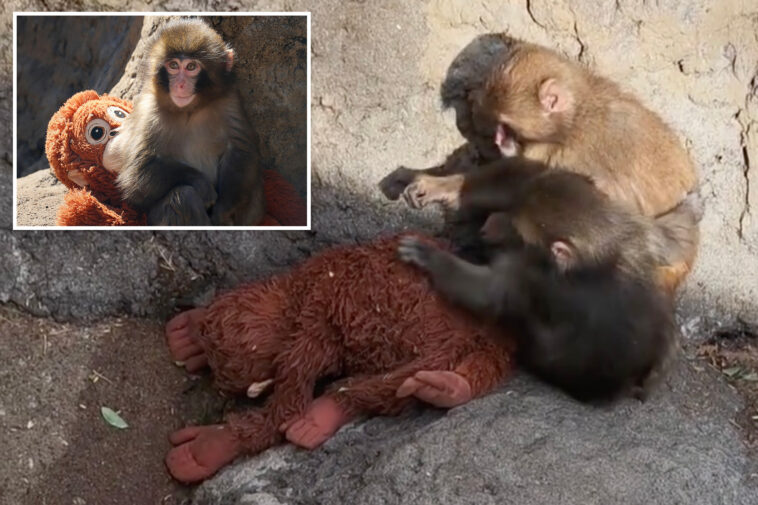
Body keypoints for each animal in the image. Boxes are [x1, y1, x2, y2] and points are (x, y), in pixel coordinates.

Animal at [103, 18, 265, 226]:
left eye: (191, 67)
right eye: (173, 65)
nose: (180, 85)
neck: (189, 110)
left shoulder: (229, 101)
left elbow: (240, 151)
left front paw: (223, 210)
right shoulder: (149, 111)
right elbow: (136, 175)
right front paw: (201, 184)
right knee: (183, 196)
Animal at [397, 162, 696, 402]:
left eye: (518, 230)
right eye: (512, 211)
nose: (490, 226)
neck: (602, 247)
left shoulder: (533, 277)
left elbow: (491, 294)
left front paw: (430, 258)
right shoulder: (634, 228)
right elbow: (669, 237)